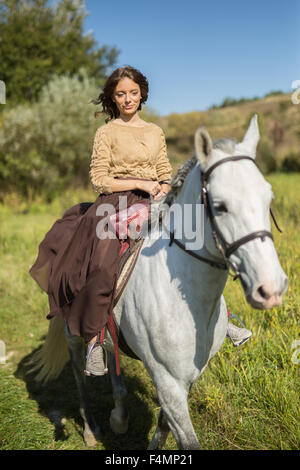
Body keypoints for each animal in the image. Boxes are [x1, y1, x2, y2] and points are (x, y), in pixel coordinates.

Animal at [31, 115, 288, 450]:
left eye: (268, 198)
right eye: (220, 206)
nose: (271, 289)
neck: (188, 302)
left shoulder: (186, 380)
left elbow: (163, 428)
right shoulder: (168, 382)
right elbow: (186, 440)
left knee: (110, 354)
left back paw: (119, 414)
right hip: (71, 330)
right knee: (78, 371)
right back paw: (90, 429)